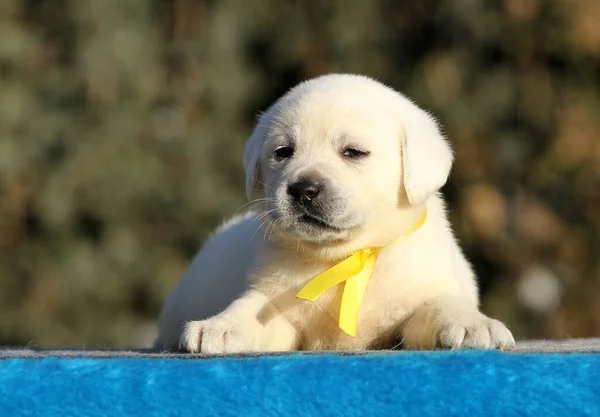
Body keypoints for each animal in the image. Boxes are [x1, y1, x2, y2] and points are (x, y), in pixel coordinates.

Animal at [156, 72, 516, 352]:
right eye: (283, 152)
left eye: (353, 152)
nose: (303, 189)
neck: (343, 256)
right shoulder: (276, 305)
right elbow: (250, 308)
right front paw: (221, 326)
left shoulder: (420, 299)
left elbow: (442, 304)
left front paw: (473, 324)